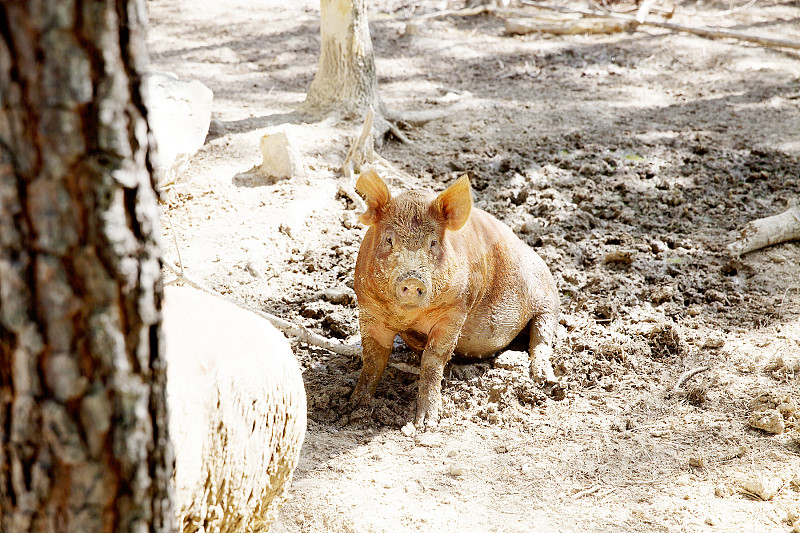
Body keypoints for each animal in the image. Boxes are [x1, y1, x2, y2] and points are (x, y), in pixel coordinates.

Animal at [354, 169, 560, 428]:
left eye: (433, 243)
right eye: (389, 240)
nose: (413, 278)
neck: (409, 317)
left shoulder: (456, 310)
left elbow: (433, 359)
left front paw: (426, 423)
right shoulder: (368, 308)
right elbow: (373, 359)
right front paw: (354, 407)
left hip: (548, 299)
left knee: (541, 338)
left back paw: (545, 380)